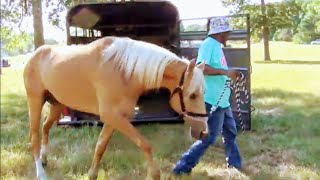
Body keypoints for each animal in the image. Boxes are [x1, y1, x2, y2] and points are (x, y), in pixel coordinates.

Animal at [23, 35, 208, 179]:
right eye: (192, 95)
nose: (204, 132)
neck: (124, 71)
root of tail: (35, 54)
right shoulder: (113, 116)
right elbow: (144, 144)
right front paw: (155, 174)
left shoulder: (115, 118)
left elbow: (101, 146)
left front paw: (92, 174)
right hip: (35, 101)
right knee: (34, 137)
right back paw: (41, 173)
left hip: (57, 105)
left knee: (45, 127)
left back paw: (44, 159)